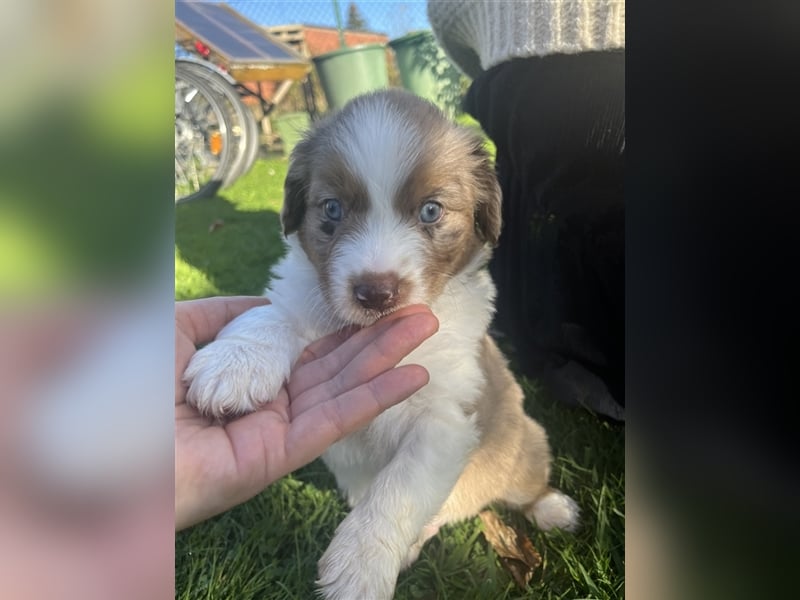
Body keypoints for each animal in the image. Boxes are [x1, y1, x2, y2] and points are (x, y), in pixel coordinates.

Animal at [184, 90, 580, 600]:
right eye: (332, 209)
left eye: (431, 211)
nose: (375, 293)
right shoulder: (303, 299)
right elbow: (271, 314)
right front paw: (234, 365)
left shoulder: (445, 419)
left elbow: (398, 488)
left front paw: (360, 564)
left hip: (524, 444)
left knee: (526, 484)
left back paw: (553, 508)